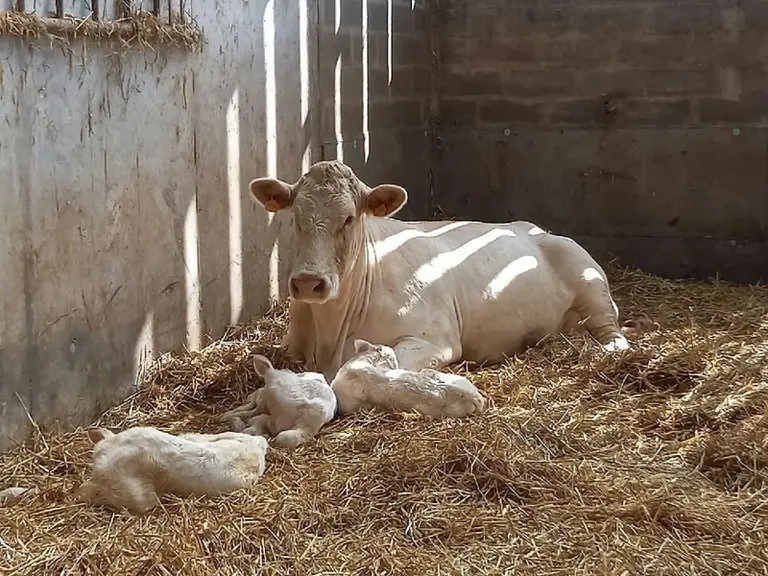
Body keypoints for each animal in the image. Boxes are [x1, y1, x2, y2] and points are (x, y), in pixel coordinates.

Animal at [248, 160, 630, 382]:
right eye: (295, 216)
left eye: (349, 218)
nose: (308, 283)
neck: (329, 334)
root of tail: (537, 229)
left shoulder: (433, 340)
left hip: (591, 286)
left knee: (614, 334)